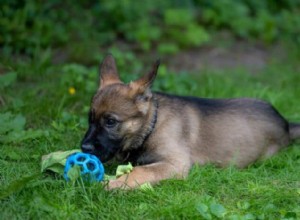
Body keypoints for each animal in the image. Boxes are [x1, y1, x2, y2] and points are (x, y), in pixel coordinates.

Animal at [81, 54, 300, 189]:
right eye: (90, 119)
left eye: (110, 122)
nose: (84, 148)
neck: (152, 126)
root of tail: (285, 123)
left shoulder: (175, 164)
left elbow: (140, 172)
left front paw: (111, 185)